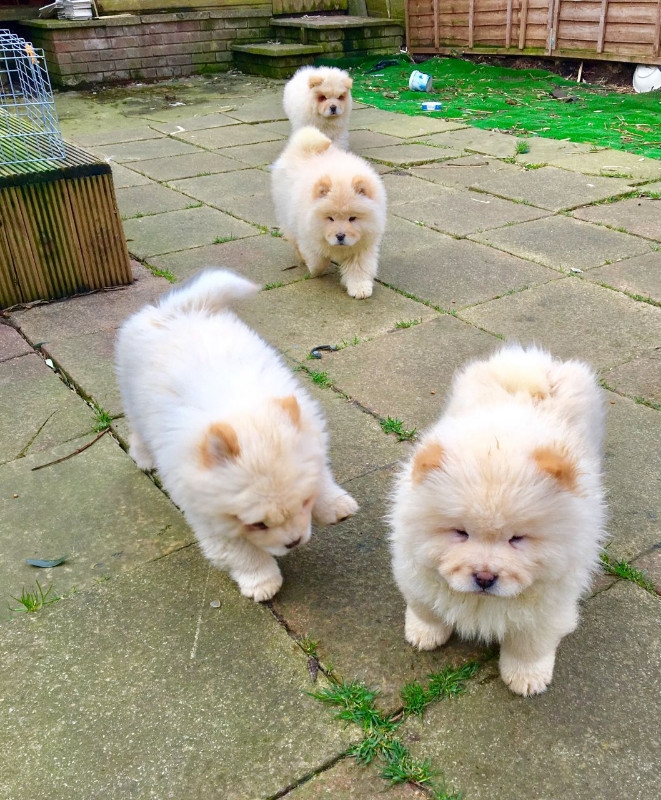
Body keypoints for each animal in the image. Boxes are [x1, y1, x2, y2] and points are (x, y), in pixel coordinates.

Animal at [116, 268, 358, 600]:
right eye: (258, 525)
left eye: (304, 504)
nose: (294, 542)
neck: (244, 414)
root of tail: (176, 310)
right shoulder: (212, 517)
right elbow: (244, 553)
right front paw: (262, 582)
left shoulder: (309, 442)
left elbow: (320, 475)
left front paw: (335, 505)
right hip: (133, 401)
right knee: (138, 431)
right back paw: (143, 459)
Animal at [270, 125, 386, 300]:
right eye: (330, 218)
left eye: (352, 218)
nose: (340, 235)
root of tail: (305, 147)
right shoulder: (309, 237)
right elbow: (318, 258)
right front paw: (315, 269)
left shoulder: (363, 246)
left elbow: (359, 268)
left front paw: (360, 289)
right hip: (286, 214)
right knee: (294, 240)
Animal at [386, 344, 608, 692]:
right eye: (460, 532)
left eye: (517, 539)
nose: (485, 577)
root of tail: (529, 365)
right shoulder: (416, 570)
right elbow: (426, 608)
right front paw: (424, 634)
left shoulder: (549, 605)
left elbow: (529, 644)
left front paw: (526, 678)